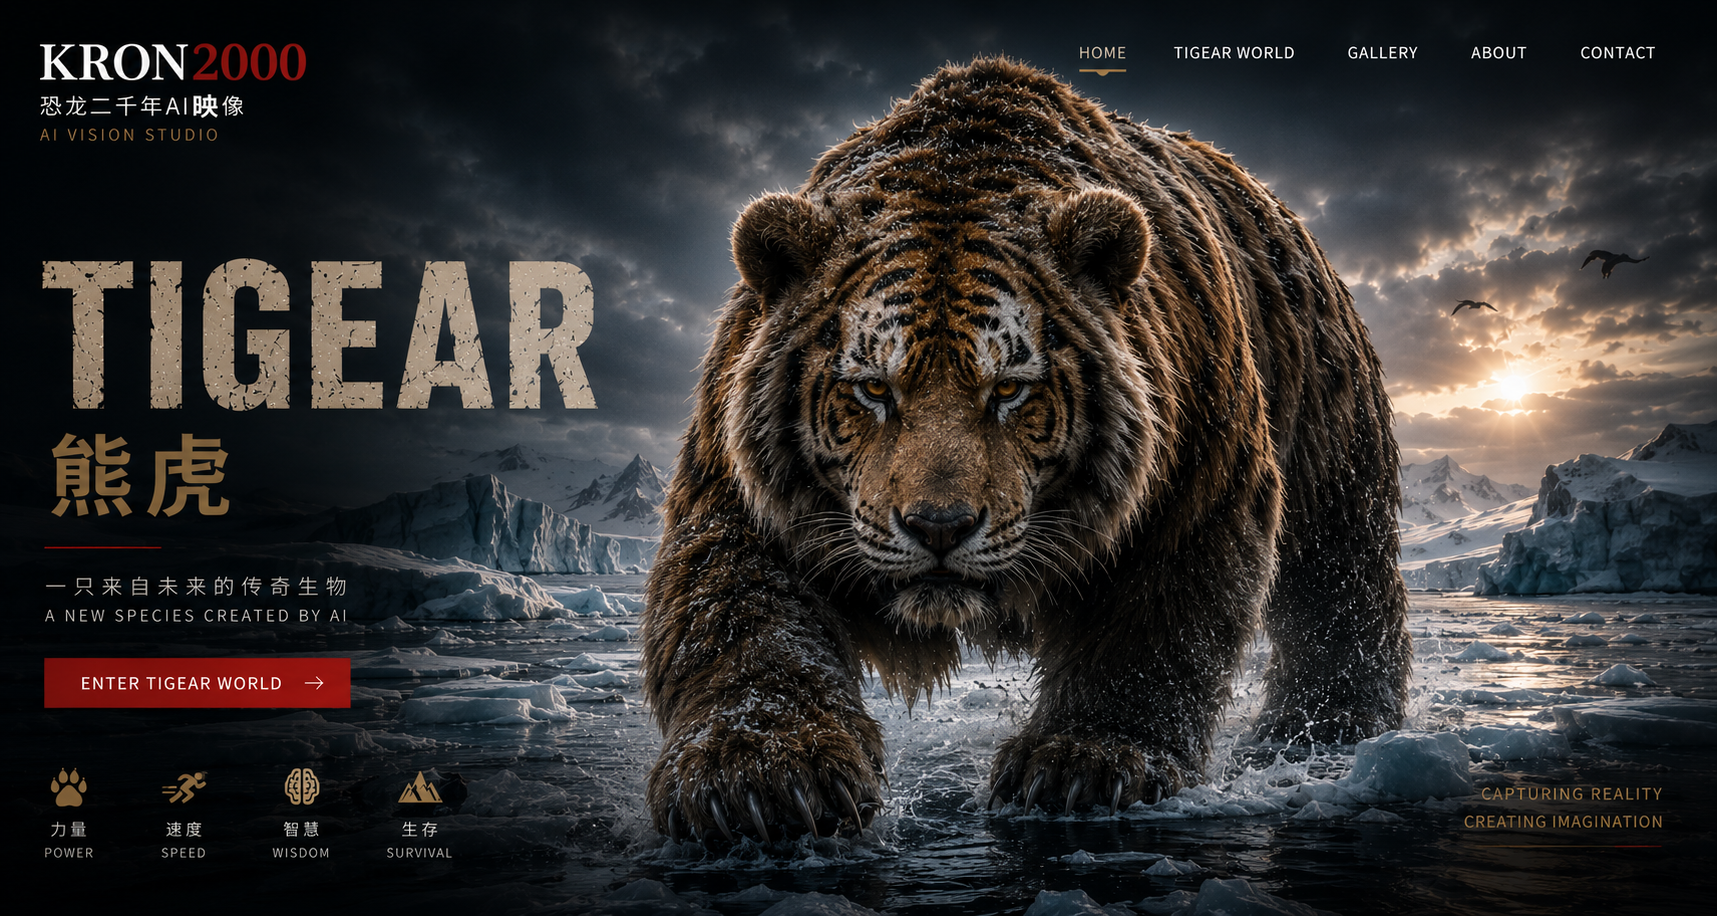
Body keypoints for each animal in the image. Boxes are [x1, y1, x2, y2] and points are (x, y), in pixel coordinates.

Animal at [641, 57, 1412, 842]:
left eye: (1008, 388)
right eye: (873, 388)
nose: (939, 527)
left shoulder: (1190, 464)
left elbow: (1158, 618)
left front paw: (1086, 762)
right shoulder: (748, 478)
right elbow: (742, 608)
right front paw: (757, 775)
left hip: (1329, 433)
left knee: (1337, 585)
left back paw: (1325, 730)